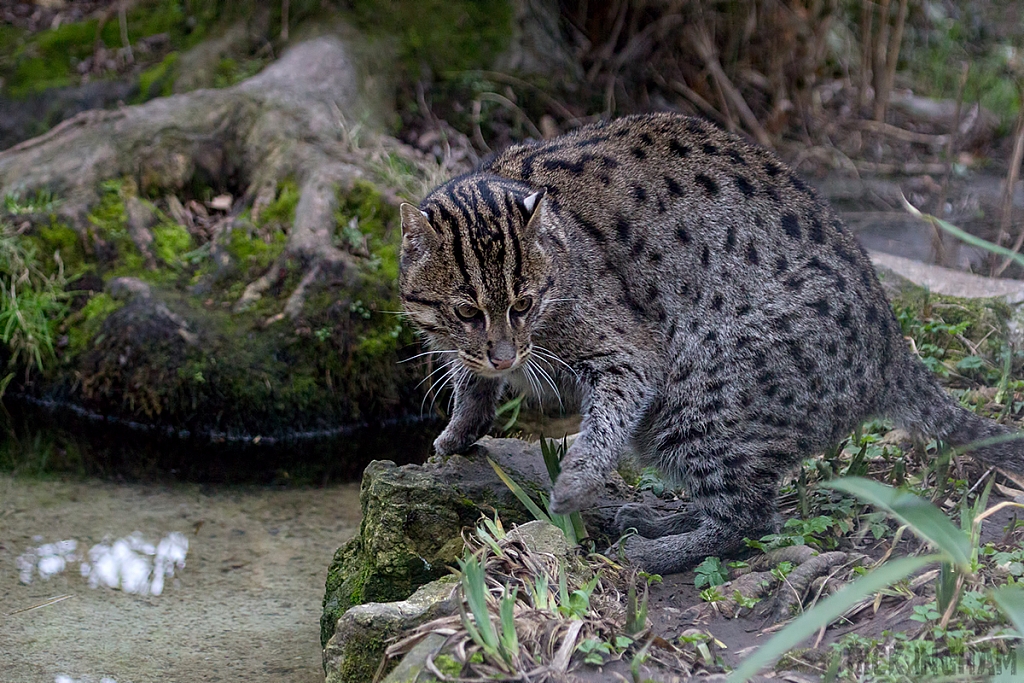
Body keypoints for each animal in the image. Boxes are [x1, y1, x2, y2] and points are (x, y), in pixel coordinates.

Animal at [395, 113, 1019, 577]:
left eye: (523, 303)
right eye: (466, 311)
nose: (506, 354)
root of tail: (892, 350)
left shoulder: (628, 354)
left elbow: (604, 423)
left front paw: (574, 481)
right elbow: (469, 377)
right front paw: (459, 429)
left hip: (702, 398)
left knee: (749, 515)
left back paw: (656, 548)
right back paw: (655, 521)